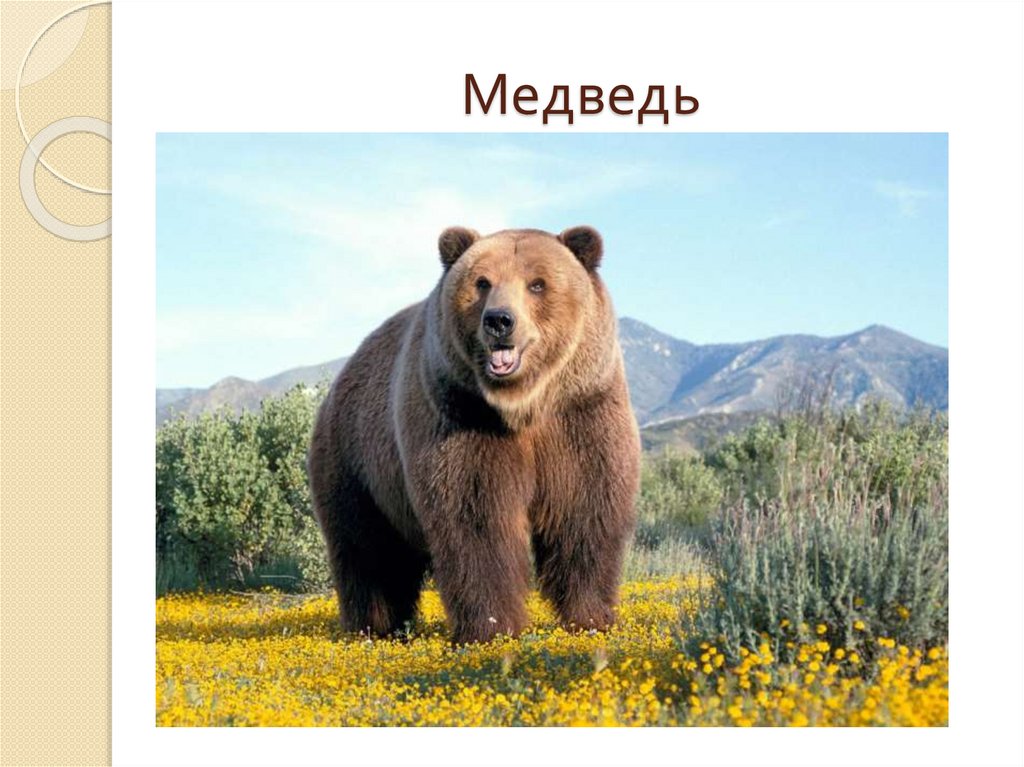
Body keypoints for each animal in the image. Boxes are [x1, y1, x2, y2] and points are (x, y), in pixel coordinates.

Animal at [308, 225, 640, 644]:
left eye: (537, 283)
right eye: (482, 282)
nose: (499, 320)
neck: (523, 406)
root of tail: (340, 378)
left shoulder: (580, 414)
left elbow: (585, 511)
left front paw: (591, 618)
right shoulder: (461, 418)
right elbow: (476, 520)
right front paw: (492, 627)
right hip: (357, 462)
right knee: (368, 550)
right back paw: (374, 627)